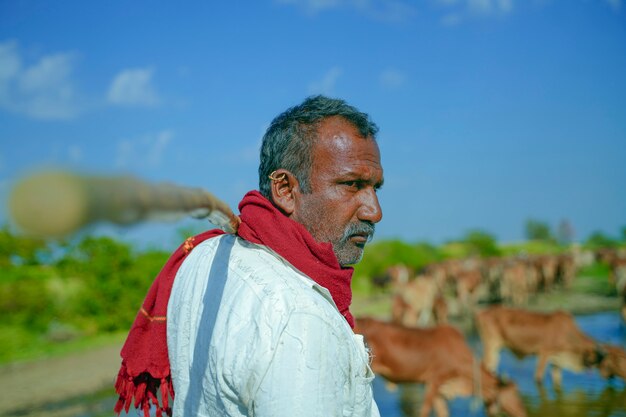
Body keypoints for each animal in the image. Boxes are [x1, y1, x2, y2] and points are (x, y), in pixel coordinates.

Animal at [472, 306, 624, 386]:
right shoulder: (544, 354)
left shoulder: (557, 362)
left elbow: (557, 382)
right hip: (491, 348)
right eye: (616, 360)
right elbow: (539, 378)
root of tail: (481, 311)